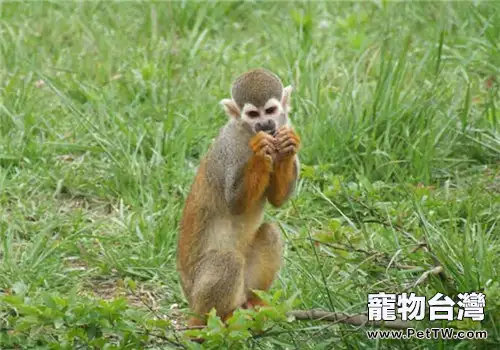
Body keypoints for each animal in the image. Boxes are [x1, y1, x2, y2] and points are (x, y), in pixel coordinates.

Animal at [176, 69, 300, 328]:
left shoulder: (285, 124)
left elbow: (278, 200)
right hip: (198, 295)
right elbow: (234, 203)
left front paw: (287, 146)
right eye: (253, 114)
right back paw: (222, 316)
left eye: (270, 111)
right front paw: (260, 150)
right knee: (228, 260)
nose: (265, 124)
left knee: (270, 233)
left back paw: (254, 302)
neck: (246, 132)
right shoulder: (228, 148)